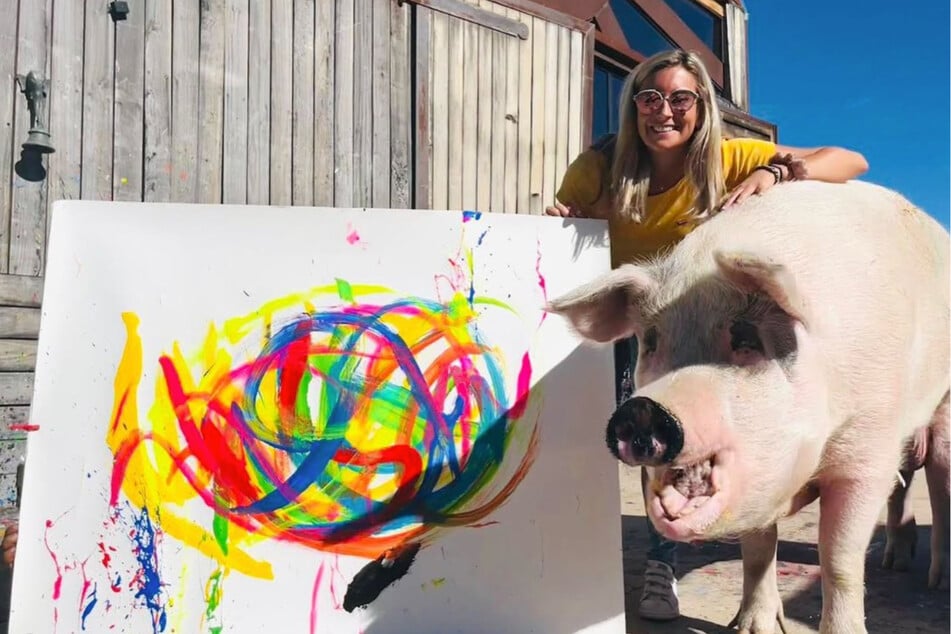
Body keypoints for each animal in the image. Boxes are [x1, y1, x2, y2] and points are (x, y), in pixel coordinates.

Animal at [548, 179, 948, 632]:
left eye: (746, 339)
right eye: (650, 341)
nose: (641, 409)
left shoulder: (868, 448)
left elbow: (839, 557)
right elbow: (757, 550)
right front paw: (752, 627)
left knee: (936, 478)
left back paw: (935, 581)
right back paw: (895, 563)